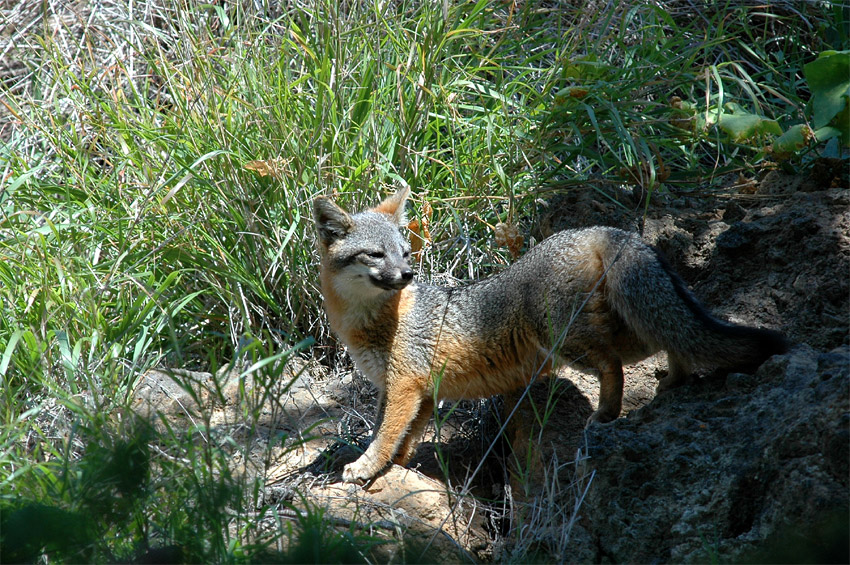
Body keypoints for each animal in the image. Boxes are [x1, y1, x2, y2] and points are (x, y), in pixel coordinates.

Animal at [314, 186, 788, 480]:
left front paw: (365, 466)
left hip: (566, 341)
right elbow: (405, 436)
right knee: (673, 337)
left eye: (405, 252)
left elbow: (384, 434)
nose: (408, 274)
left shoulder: (403, 386)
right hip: (617, 326)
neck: (368, 324)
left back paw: (607, 414)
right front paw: (395, 465)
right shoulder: (418, 392)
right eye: (377, 255)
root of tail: (591, 229)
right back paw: (675, 380)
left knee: (617, 363)